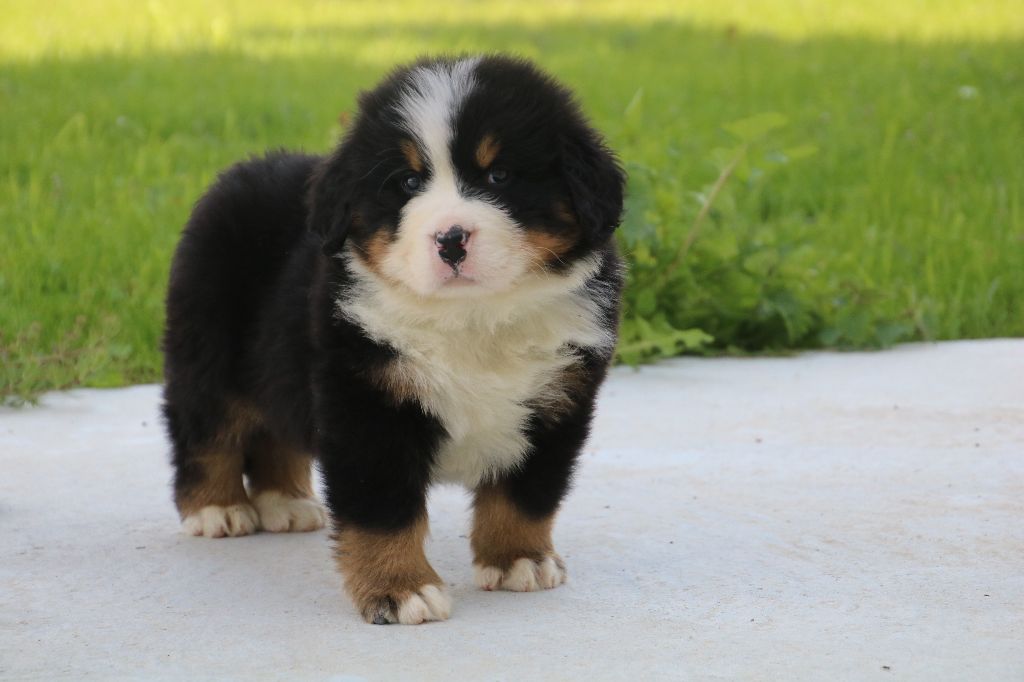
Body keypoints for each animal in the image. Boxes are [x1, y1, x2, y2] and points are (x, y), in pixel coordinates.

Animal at [161, 55, 622, 622]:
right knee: (205, 429)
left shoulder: (558, 402)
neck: (473, 319)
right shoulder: (368, 401)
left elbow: (526, 493)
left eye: (500, 175)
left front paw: (520, 560)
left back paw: (284, 501)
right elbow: (382, 511)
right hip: (207, 351)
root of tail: (244, 170)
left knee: (276, 426)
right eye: (406, 181)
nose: (451, 240)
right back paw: (217, 508)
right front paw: (400, 589)